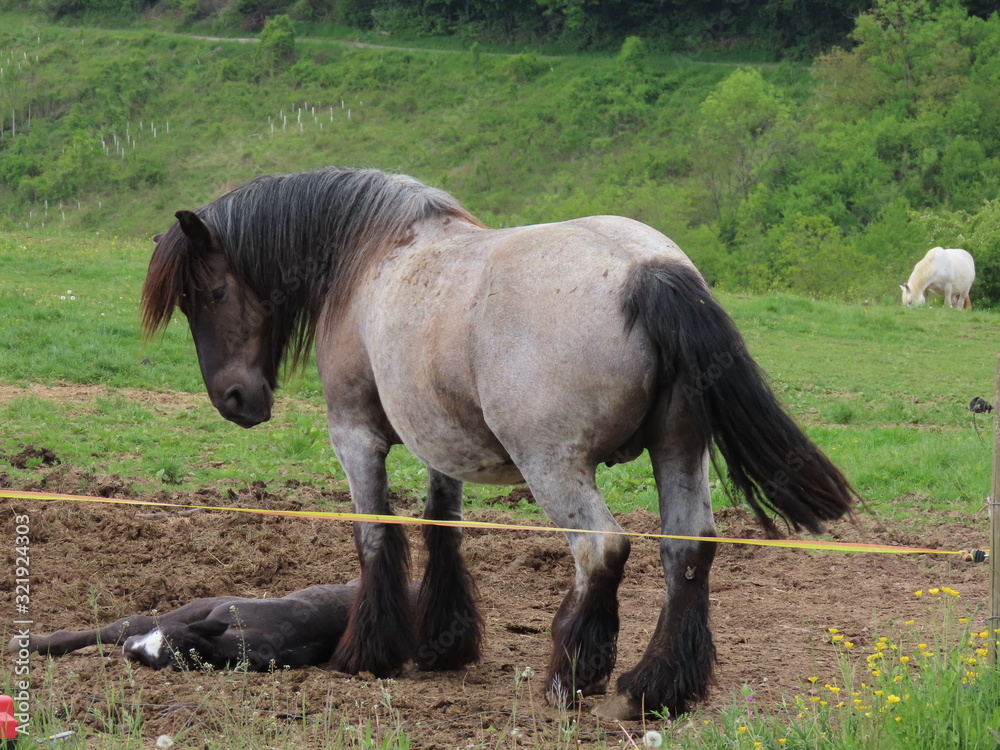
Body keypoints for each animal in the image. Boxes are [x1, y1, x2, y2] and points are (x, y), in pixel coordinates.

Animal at [140, 167, 856, 719]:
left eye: (211, 292)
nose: (234, 400)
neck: (372, 255)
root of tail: (646, 273)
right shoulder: (441, 445)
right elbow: (441, 529)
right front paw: (442, 644)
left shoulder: (356, 436)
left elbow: (376, 535)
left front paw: (367, 652)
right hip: (678, 451)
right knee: (687, 550)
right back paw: (653, 689)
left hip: (556, 467)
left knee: (602, 548)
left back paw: (572, 675)